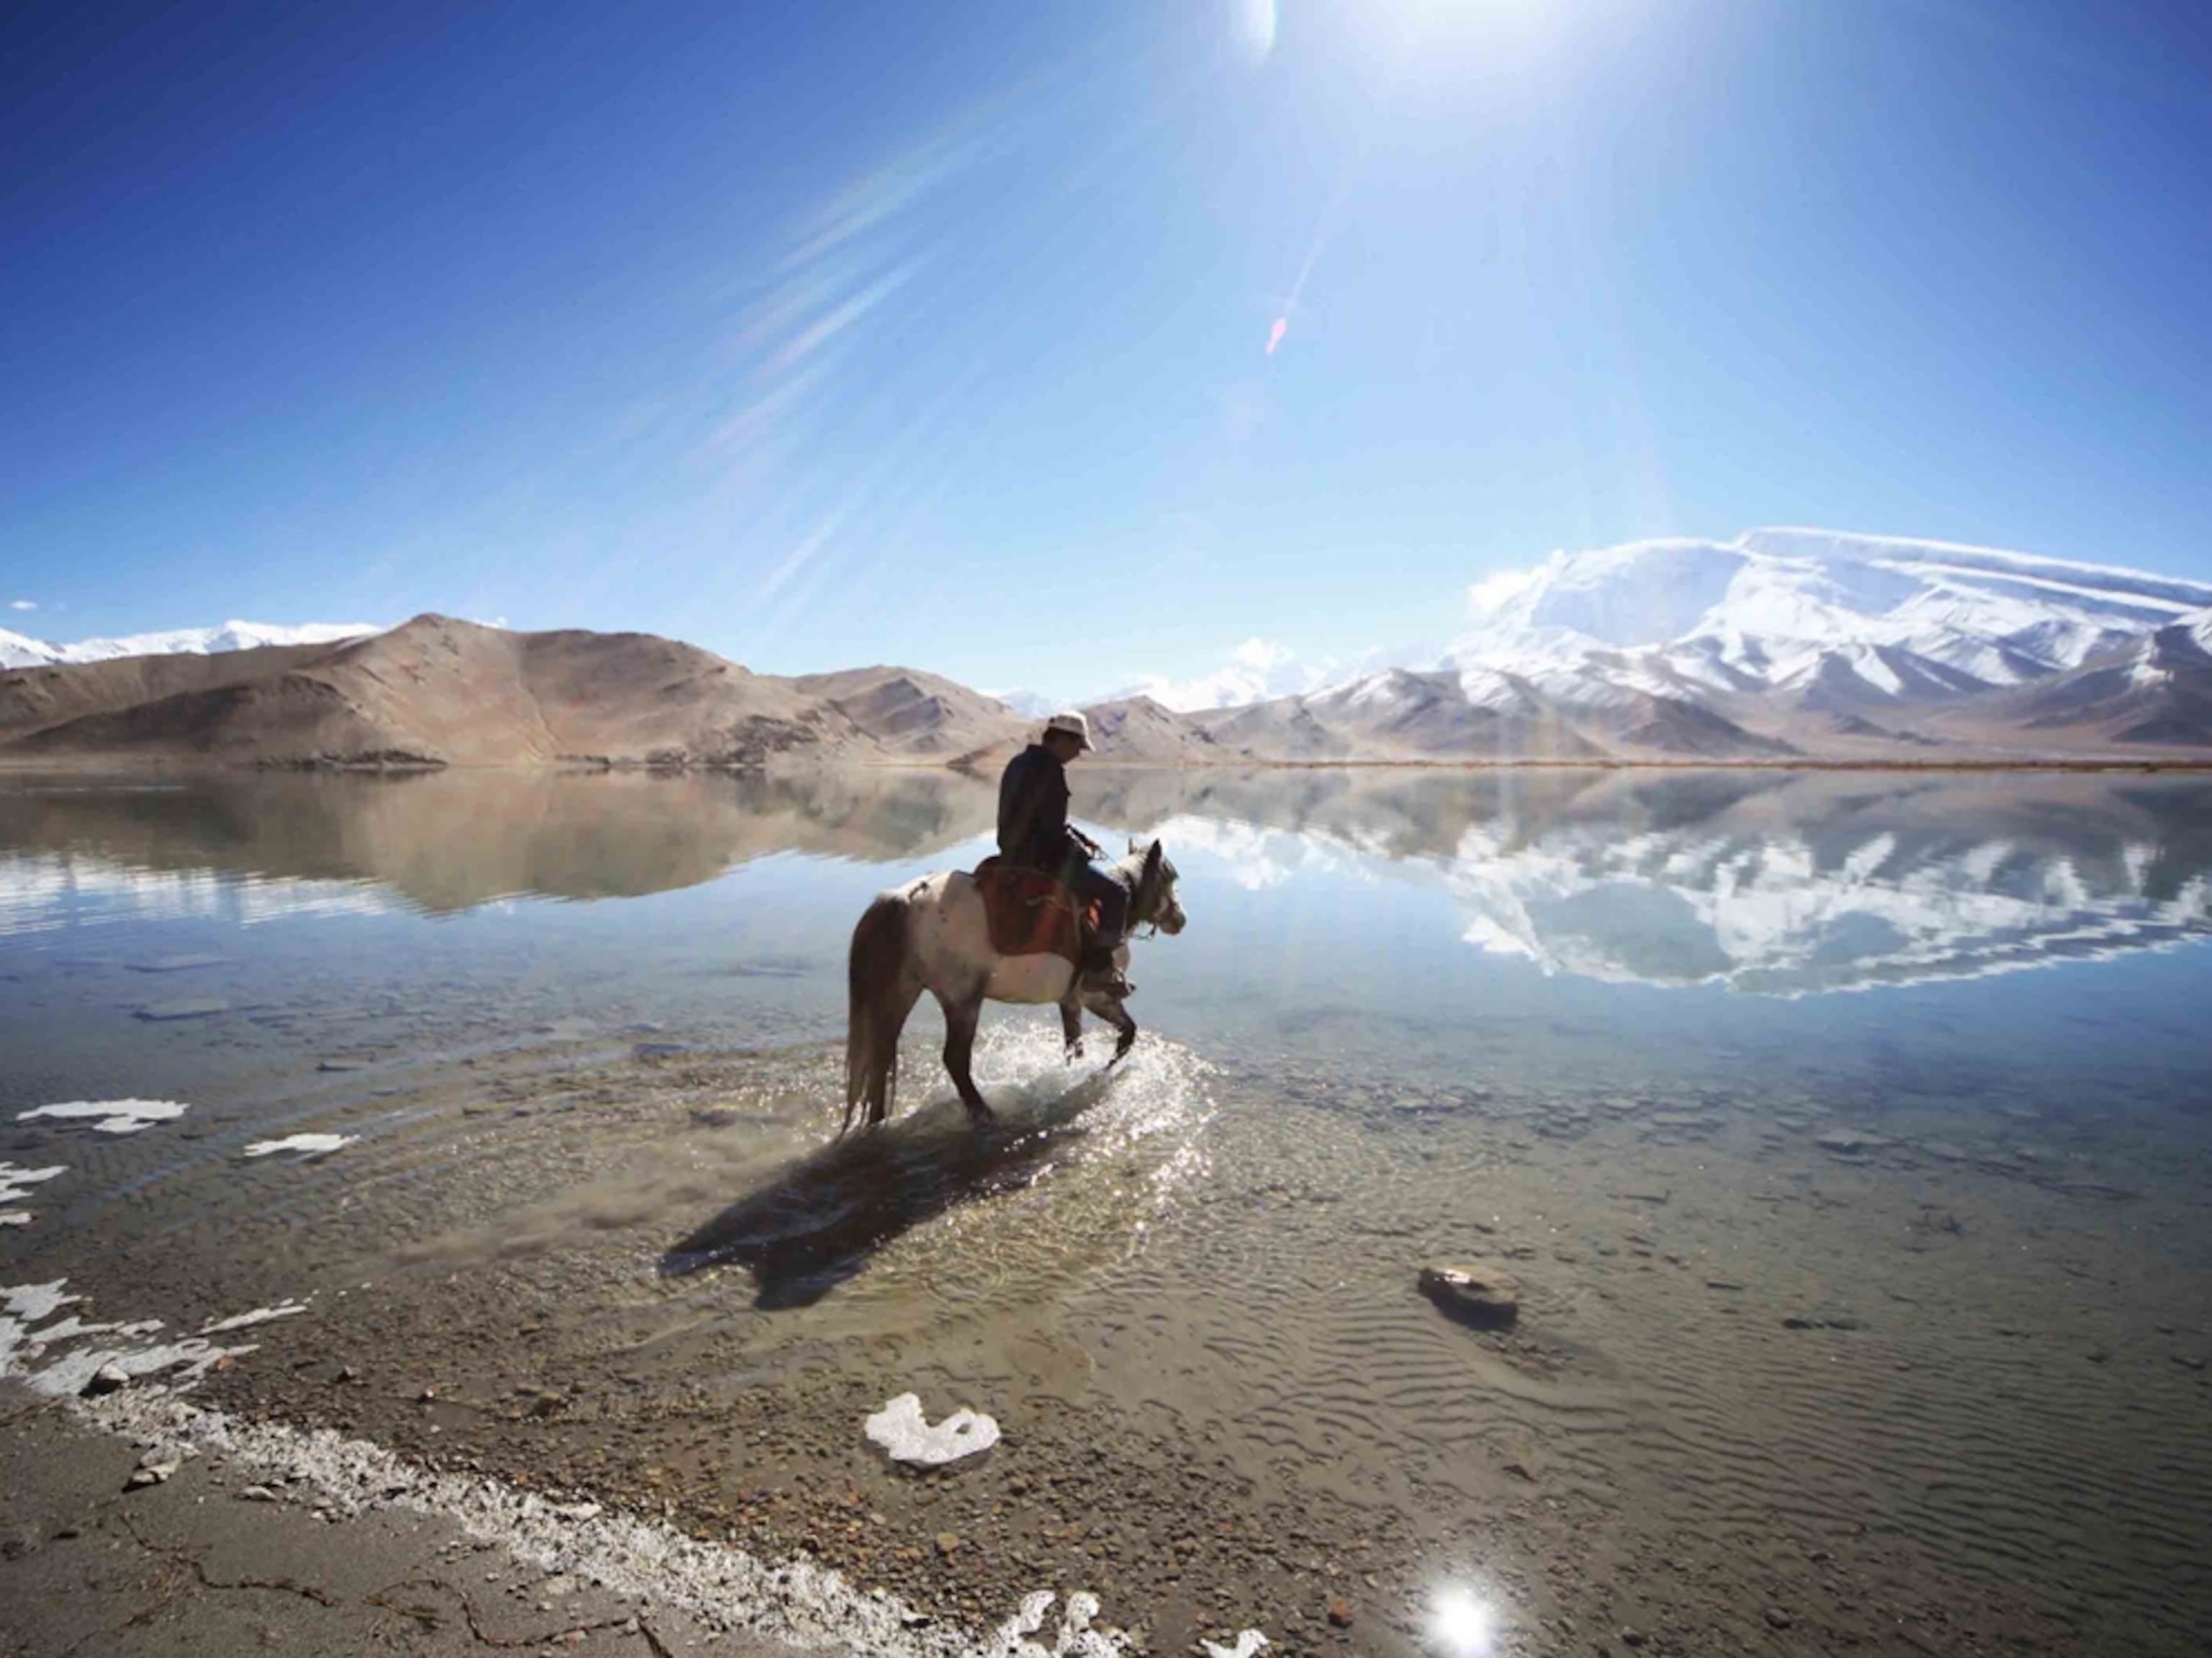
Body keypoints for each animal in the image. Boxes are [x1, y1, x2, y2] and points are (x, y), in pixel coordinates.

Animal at [842, 838, 1186, 1133]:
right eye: (1169, 879)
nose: (1180, 919)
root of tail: (908, 896)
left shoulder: (1071, 1001)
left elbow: (1076, 1045)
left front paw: (1075, 1072)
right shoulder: (1096, 994)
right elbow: (1127, 1033)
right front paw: (1100, 1073)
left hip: (904, 991)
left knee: (881, 1055)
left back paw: (876, 1123)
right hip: (963, 1000)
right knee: (954, 1058)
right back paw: (984, 1114)